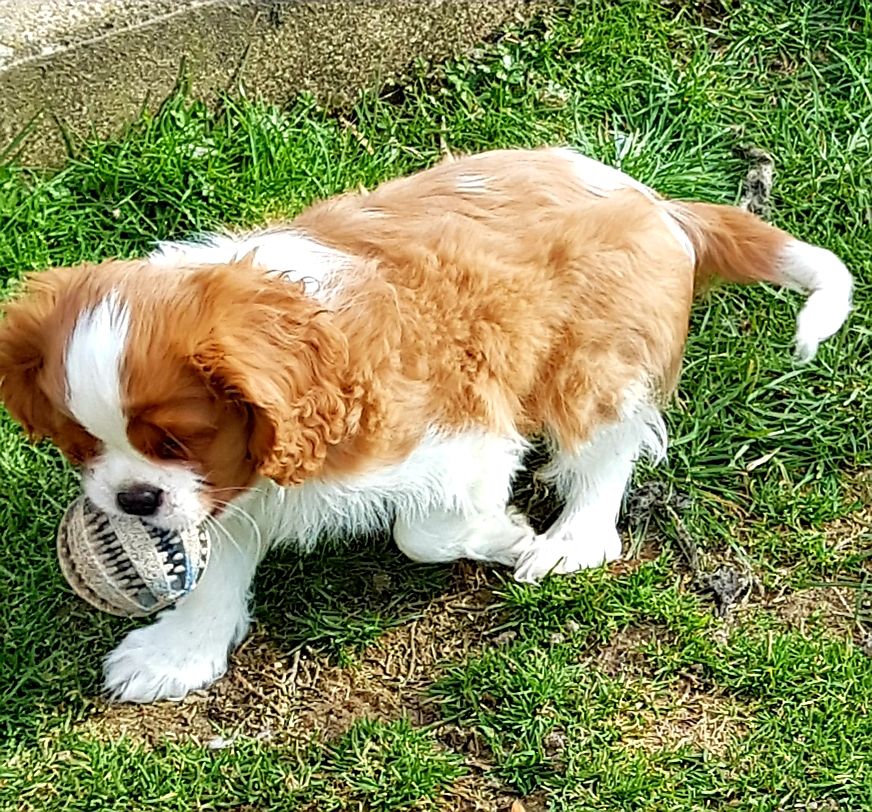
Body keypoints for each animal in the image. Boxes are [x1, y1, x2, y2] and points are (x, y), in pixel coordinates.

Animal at [0, 147, 852, 704]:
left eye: (176, 440)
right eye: (81, 447)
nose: (132, 501)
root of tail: (659, 202)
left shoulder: (466, 433)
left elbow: (424, 532)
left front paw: (506, 534)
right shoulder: (229, 486)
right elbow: (218, 562)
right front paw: (183, 651)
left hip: (595, 358)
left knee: (605, 451)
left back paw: (571, 539)